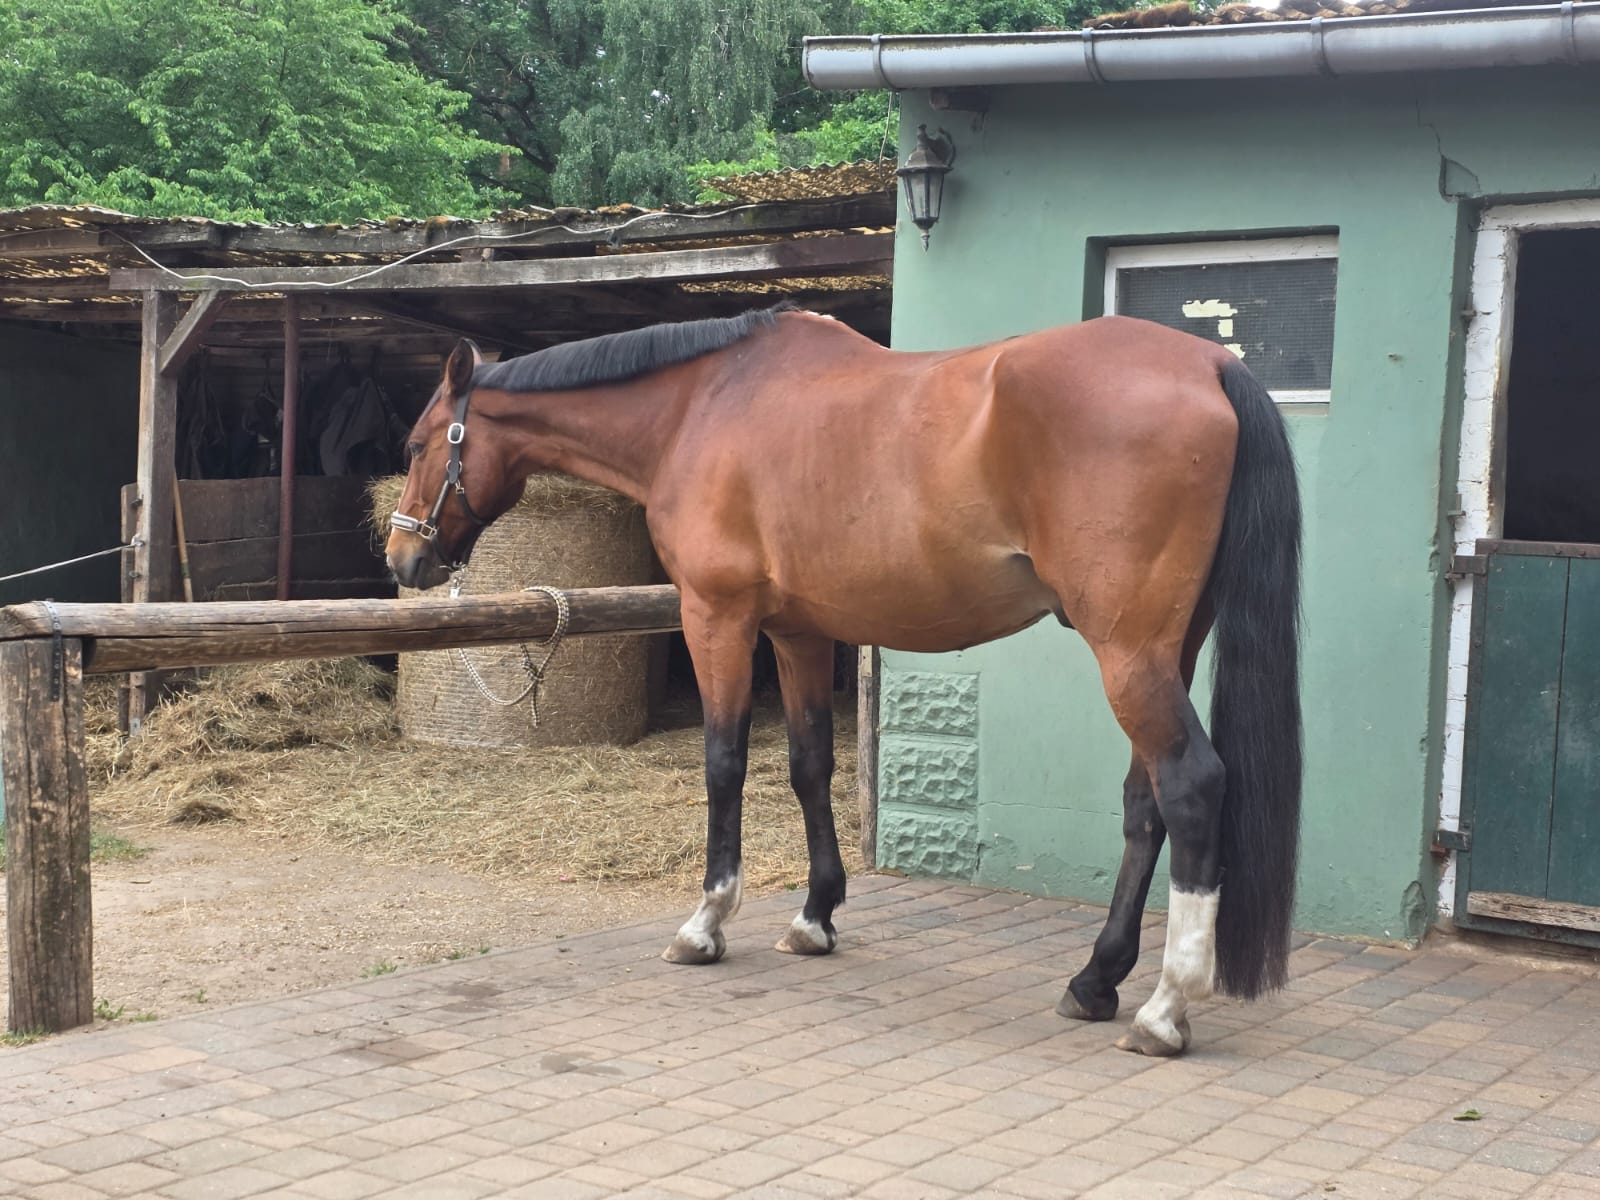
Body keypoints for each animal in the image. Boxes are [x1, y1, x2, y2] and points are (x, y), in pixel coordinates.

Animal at [385, 305, 1302, 1057]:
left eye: (418, 445)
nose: (402, 558)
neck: (701, 407)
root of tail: (1209, 367)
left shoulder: (717, 617)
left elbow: (724, 764)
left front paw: (706, 923)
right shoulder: (798, 633)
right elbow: (808, 766)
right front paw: (815, 916)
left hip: (1129, 654)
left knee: (1191, 786)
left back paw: (1165, 1008)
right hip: (1165, 652)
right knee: (1146, 804)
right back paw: (1095, 980)